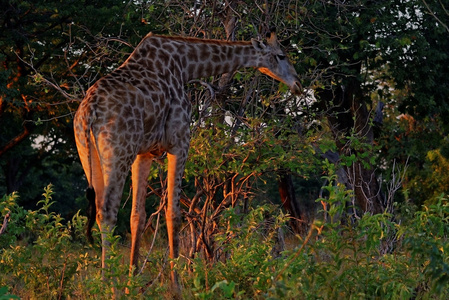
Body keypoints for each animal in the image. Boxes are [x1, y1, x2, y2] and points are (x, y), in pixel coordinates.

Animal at [74, 27, 300, 290]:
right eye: (281, 55)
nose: (298, 84)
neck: (185, 65)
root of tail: (89, 112)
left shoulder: (143, 152)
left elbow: (137, 216)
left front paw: (133, 282)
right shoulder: (180, 142)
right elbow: (173, 214)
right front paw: (176, 286)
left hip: (89, 154)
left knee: (102, 213)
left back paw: (104, 282)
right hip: (119, 152)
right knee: (107, 212)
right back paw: (110, 287)